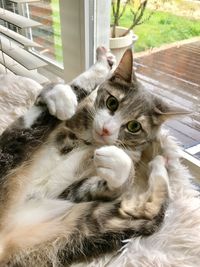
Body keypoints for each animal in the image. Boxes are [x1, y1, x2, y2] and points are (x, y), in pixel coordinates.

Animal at [0, 47, 184, 266]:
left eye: (134, 126)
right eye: (112, 102)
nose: (106, 130)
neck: (91, 142)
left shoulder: (67, 193)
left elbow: (102, 186)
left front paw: (120, 165)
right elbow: (53, 91)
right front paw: (59, 94)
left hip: (89, 225)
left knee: (147, 212)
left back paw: (160, 160)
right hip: (13, 150)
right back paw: (97, 68)